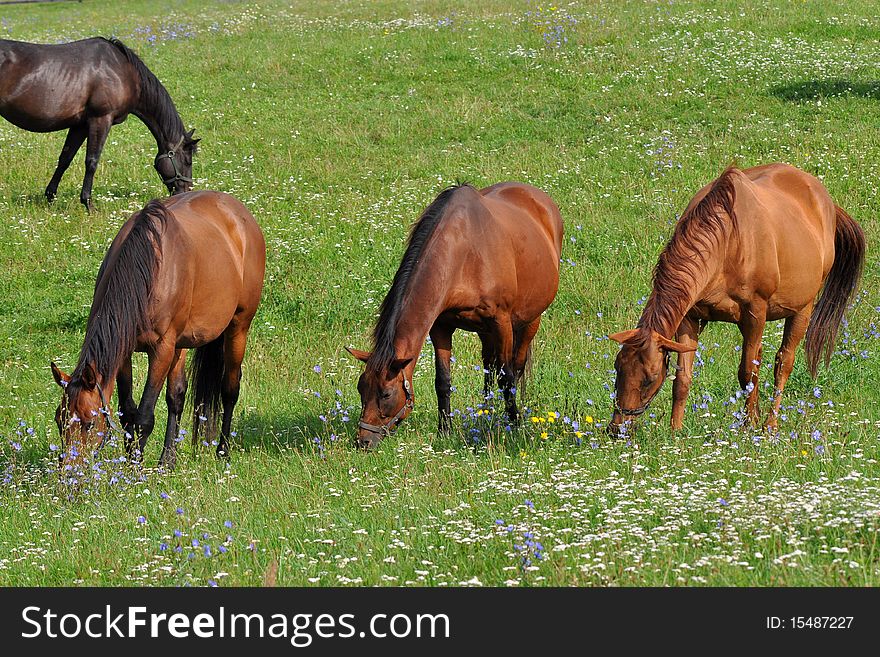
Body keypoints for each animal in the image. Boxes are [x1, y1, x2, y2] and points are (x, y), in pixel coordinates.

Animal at [0, 36, 199, 210]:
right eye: (188, 161)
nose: (186, 192)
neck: (124, 71)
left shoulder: (80, 125)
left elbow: (65, 159)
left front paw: (50, 197)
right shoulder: (101, 119)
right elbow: (92, 161)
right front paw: (88, 204)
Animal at [50, 188, 264, 466]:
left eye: (89, 423)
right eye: (59, 420)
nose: (70, 472)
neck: (146, 274)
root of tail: (238, 212)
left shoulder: (161, 349)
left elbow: (144, 415)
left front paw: (135, 467)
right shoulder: (126, 352)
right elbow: (127, 411)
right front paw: (129, 459)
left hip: (238, 327)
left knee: (230, 388)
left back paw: (223, 451)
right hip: (182, 343)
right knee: (177, 396)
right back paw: (168, 460)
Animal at [346, 181, 564, 446]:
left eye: (386, 394)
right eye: (361, 388)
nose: (363, 441)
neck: (463, 254)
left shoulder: (501, 322)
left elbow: (507, 379)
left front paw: (514, 426)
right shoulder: (441, 327)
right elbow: (443, 381)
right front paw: (445, 431)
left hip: (529, 321)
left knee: (515, 367)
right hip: (485, 331)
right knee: (488, 365)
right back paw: (485, 412)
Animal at [608, 161, 864, 434]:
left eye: (650, 379)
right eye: (617, 367)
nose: (616, 429)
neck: (728, 243)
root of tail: (827, 203)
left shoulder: (755, 313)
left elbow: (747, 373)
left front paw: (748, 424)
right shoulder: (689, 318)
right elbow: (683, 378)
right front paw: (675, 430)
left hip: (802, 309)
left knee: (783, 363)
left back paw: (769, 424)